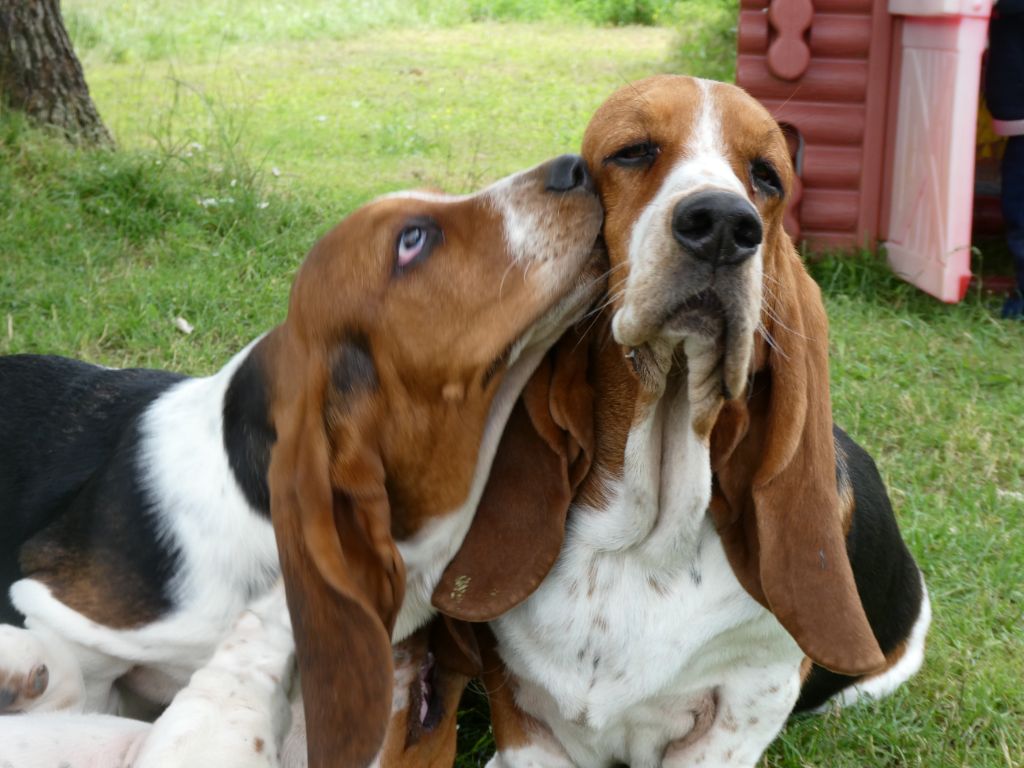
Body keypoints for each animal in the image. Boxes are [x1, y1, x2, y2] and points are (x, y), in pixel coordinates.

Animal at [436, 75, 933, 765]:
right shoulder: (525, 720)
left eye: (768, 176)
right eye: (633, 151)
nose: (724, 225)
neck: (641, 539)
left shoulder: (747, 700)